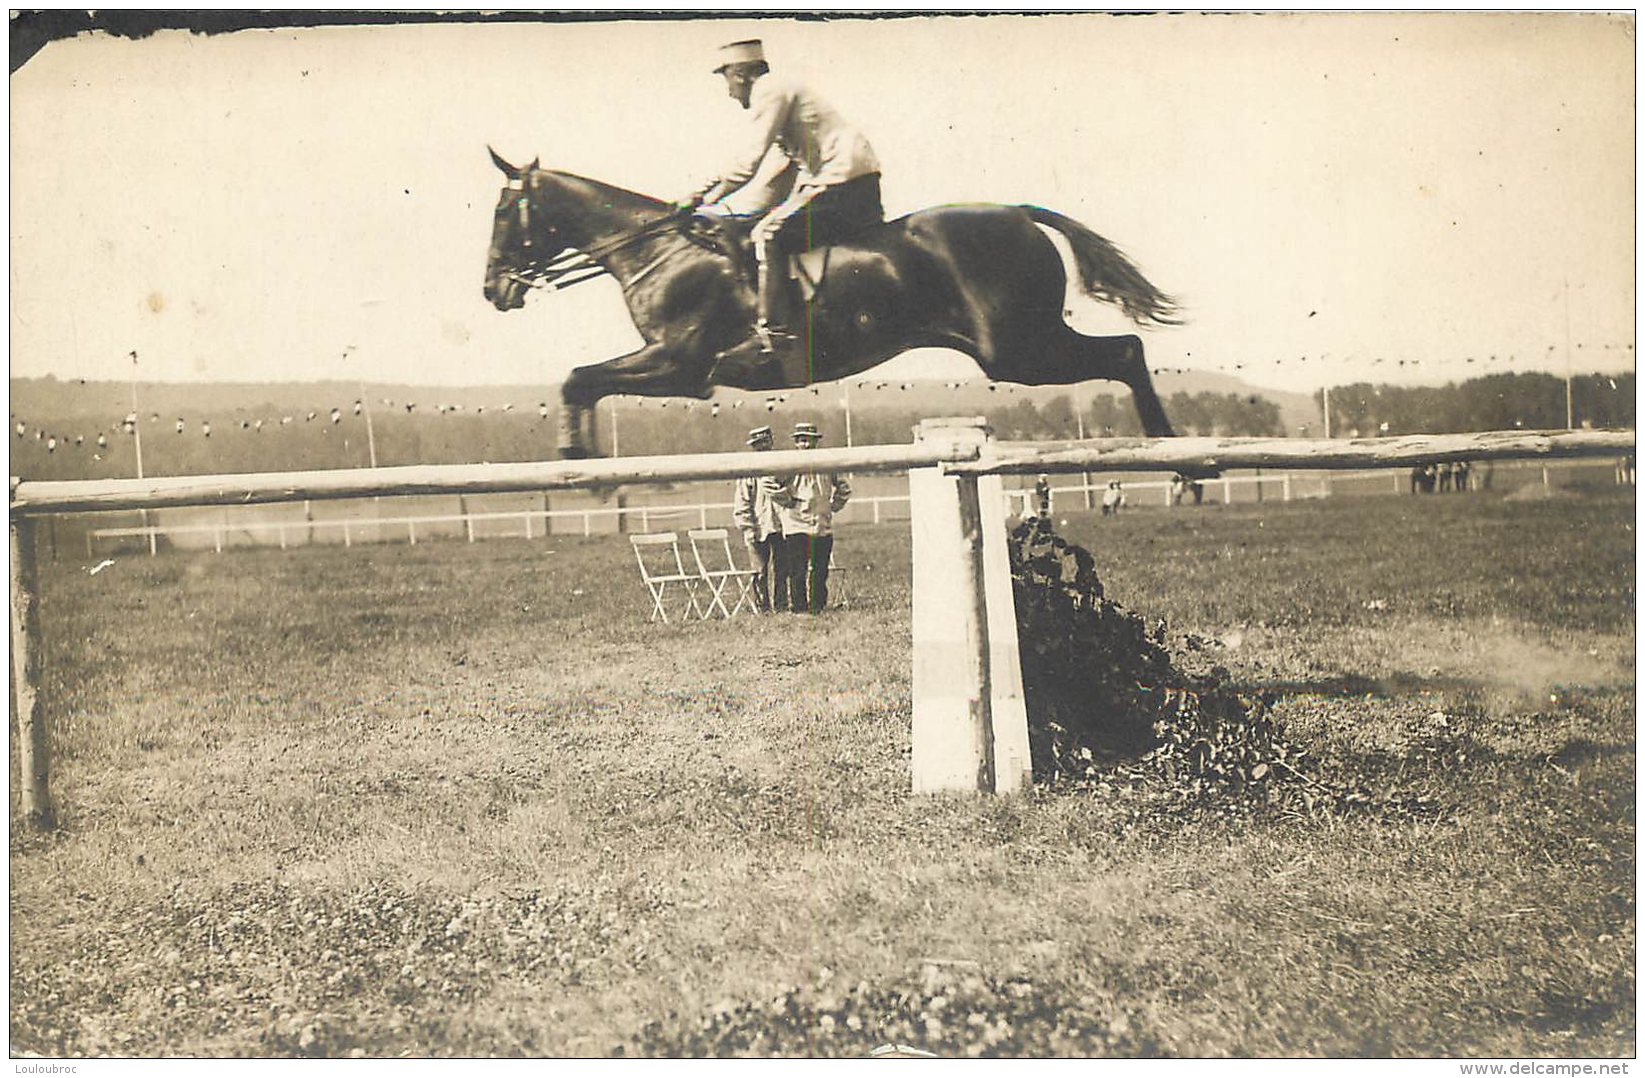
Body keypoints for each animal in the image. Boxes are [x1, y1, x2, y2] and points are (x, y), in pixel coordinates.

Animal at [480, 148, 1190, 460]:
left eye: (504, 213)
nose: (493, 290)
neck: (662, 250)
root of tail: (1016, 212)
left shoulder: (681, 365)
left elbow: (578, 379)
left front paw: (577, 455)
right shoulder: (671, 363)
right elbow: (581, 380)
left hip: (1018, 350)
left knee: (1126, 352)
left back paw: (1173, 451)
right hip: (1019, 348)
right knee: (1126, 350)